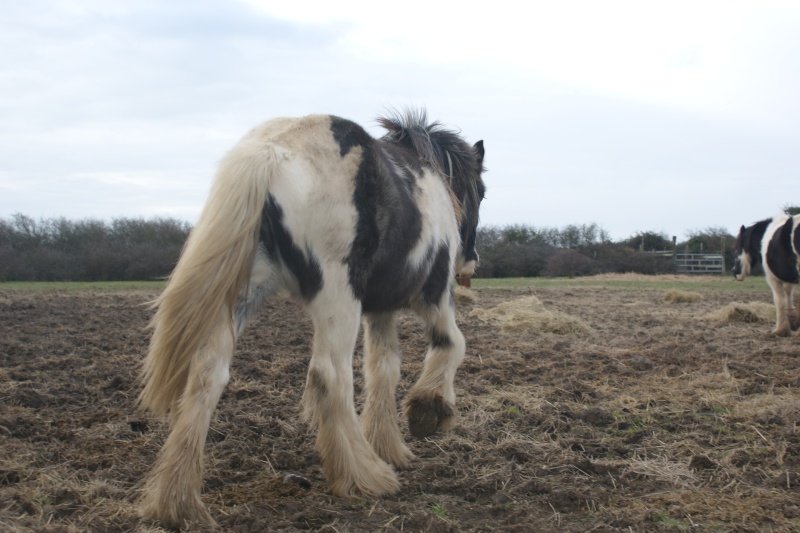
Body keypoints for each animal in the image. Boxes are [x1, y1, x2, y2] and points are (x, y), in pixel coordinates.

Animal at [138, 110, 488, 524]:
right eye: (481, 191)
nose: (471, 262)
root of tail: (272, 151)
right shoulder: (433, 296)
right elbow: (454, 344)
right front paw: (429, 410)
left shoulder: (380, 311)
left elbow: (383, 369)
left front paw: (388, 445)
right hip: (337, 299)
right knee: (328, 375)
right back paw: (363, 475)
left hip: (240, 295)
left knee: (208, 372)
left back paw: (178, 502)